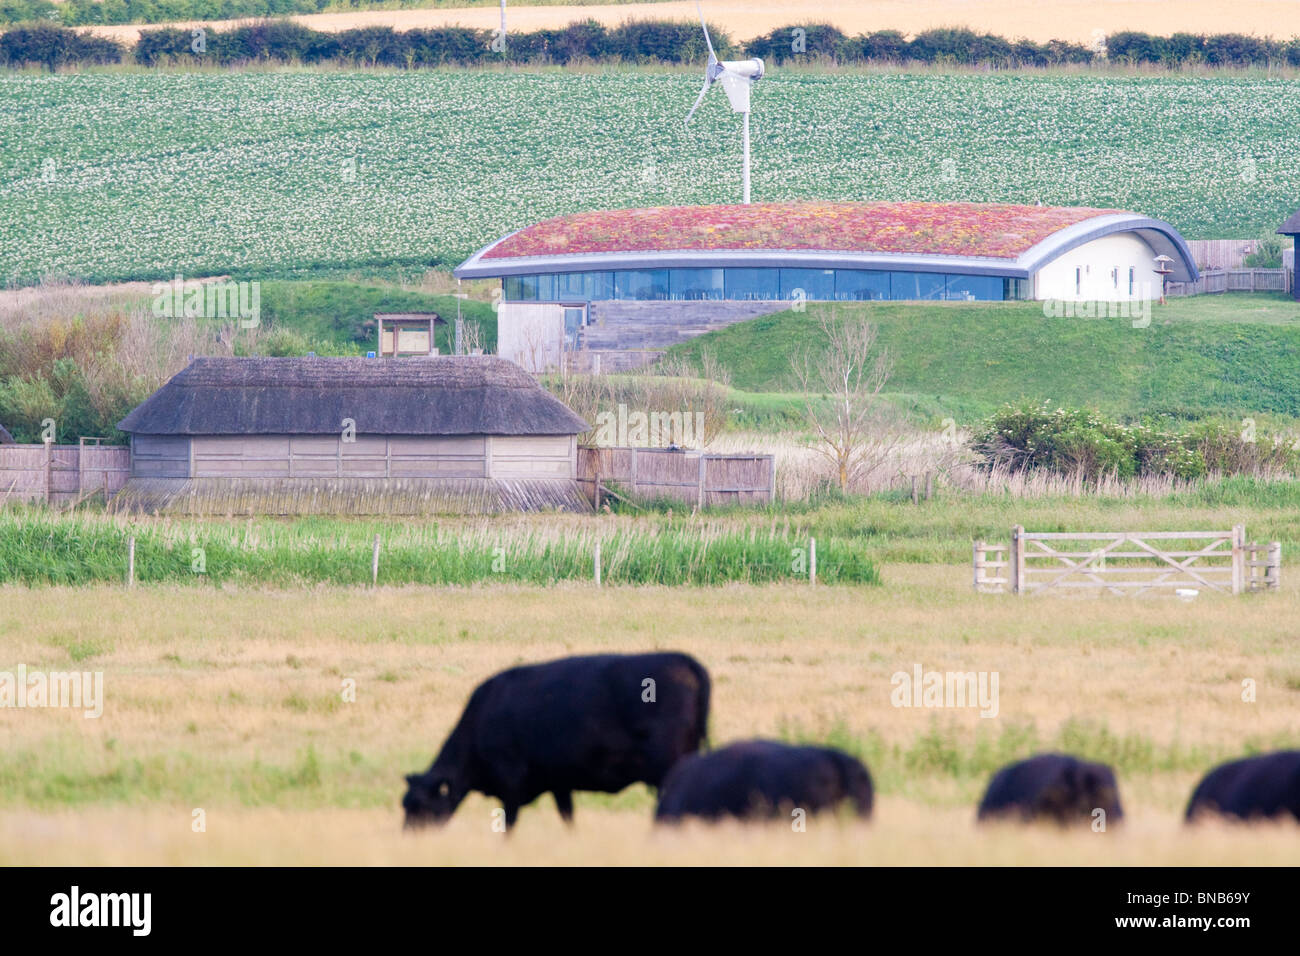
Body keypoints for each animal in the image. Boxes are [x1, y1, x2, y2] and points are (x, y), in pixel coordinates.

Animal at [405, 650, 712, 832]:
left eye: (419, 805)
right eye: (404, 804)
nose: (408, 837)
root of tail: (682, 659)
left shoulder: (511, 781)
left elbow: (509, 824)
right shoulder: (559, 783)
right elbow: (568, 817)